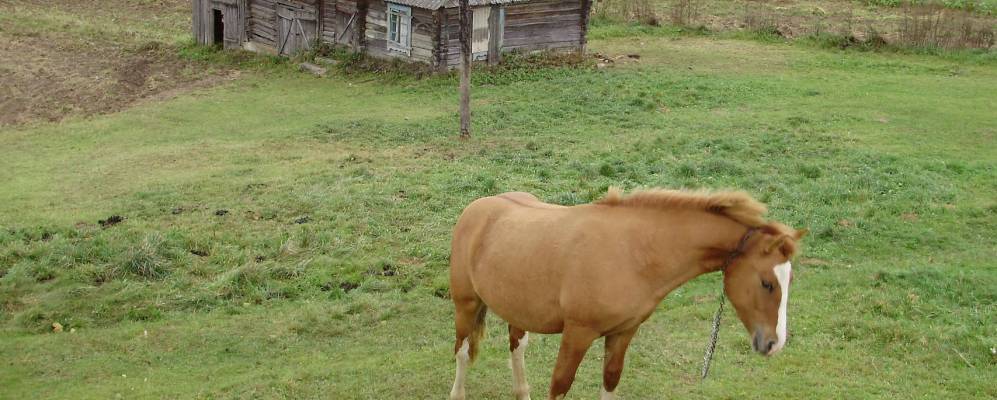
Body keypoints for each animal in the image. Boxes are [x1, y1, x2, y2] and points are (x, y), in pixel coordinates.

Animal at [448, 188, 804, 400]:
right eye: (767, 283)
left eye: (788, 280)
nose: (774, 344)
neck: (633, 251)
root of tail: (477, 208)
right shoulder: (577, 333)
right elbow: (560, 384)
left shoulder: (623, 332)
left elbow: (610, 380)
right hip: (466, 305)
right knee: (462, 352)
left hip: (517, 309)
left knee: (516, 346)